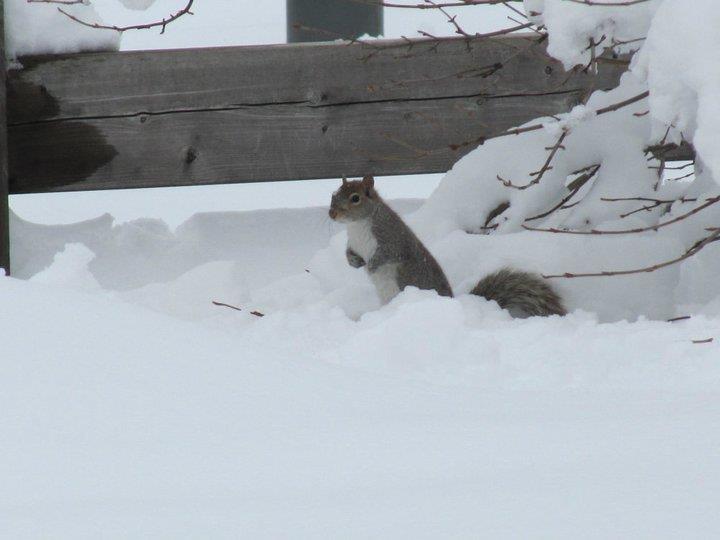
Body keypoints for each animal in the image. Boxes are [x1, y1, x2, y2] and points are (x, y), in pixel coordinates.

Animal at [330, 174, 564, 316]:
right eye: (334, 194)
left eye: (355, 198)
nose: (332, 214)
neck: (357, 226)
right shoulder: (354, 243)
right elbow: (349, 252)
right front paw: (354, 262)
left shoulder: (392, 239)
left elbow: (388, 255)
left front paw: (371, 266)